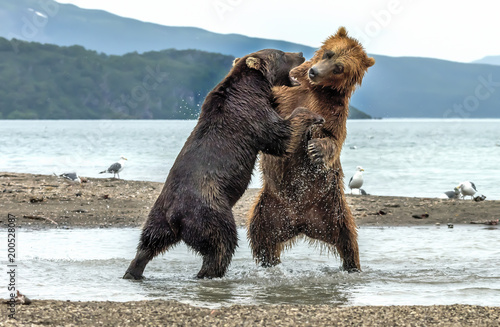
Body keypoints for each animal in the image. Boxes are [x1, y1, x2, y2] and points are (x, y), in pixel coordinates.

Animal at [124, 50, 324, 280]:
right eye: (282, 54)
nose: (300, 53)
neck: (253, 88)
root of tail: (176, 216)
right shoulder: (252, 115)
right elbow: (281, 135)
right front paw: (314, 115)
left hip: (159, 215)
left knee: (149, 242)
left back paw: (134, 270)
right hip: (209, 209)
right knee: (221, 242)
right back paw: (210, 272)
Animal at [246, 27, 376, 272]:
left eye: (339, 67)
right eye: (328, 53)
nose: (314, 72)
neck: (315, 89)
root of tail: (301, 223)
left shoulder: (334, 110)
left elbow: (333, 138)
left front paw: (316, 148)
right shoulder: (284, 94)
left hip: (333, 208)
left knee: (348, 240)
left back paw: (352, 266)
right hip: (269, 209)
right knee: (261, 238)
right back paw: (269, 263)